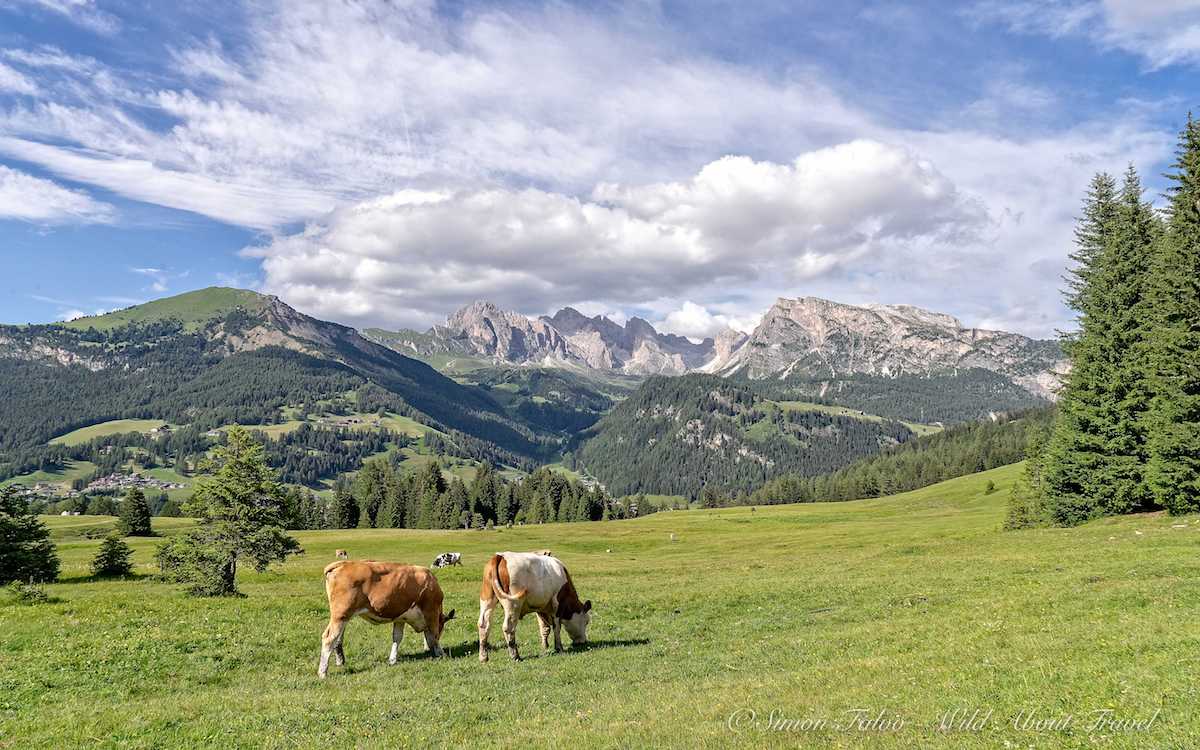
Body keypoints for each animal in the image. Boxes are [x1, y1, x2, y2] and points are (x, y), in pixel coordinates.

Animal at [319, 559, 453, 676]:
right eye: (442, 627)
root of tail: (343, 563)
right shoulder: (432, 611)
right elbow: (434, 635)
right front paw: (442, 654)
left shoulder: (401, 618)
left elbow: (397, 637)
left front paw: (392, 660)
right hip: (341, 615)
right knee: (329, 638)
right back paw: (322, 672)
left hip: (343, 617)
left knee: (338, 639)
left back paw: (340, 661)